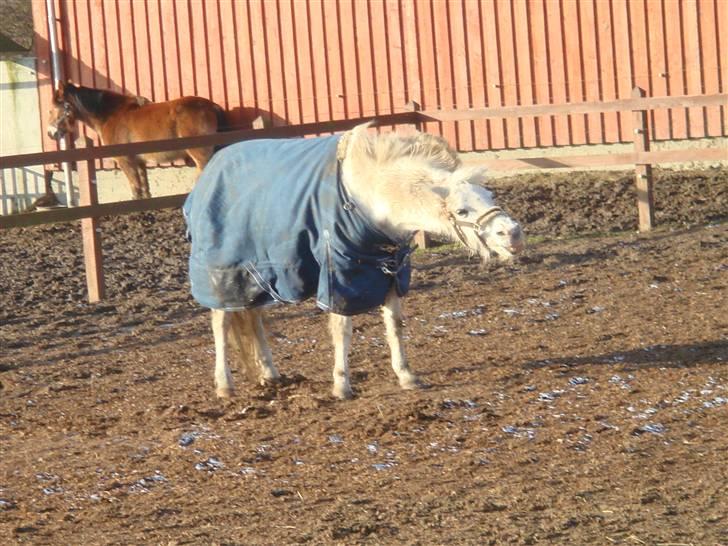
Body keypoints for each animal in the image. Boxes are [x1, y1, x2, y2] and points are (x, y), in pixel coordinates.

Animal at [47, 82, 226, 200]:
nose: (51, 133)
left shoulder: (126, 161)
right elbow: (145, 189)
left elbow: (136, 189)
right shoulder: (140, 162)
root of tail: (211, 106)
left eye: (53, 109)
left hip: (200, 154)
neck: (110, 115)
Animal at [183, 122, 525, 400]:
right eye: (462, 209)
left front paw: (407, 376)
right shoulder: (340, 276)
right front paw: (341, 385)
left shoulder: (390, 273)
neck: (367, 198)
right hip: (224, 273)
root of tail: (209, 173)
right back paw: (224, 385)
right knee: (221, 322)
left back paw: (270, 373)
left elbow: (395, 326)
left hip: (259, 274)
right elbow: (342, 330)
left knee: (253, 318)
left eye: (490, 197)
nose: (513, 233)